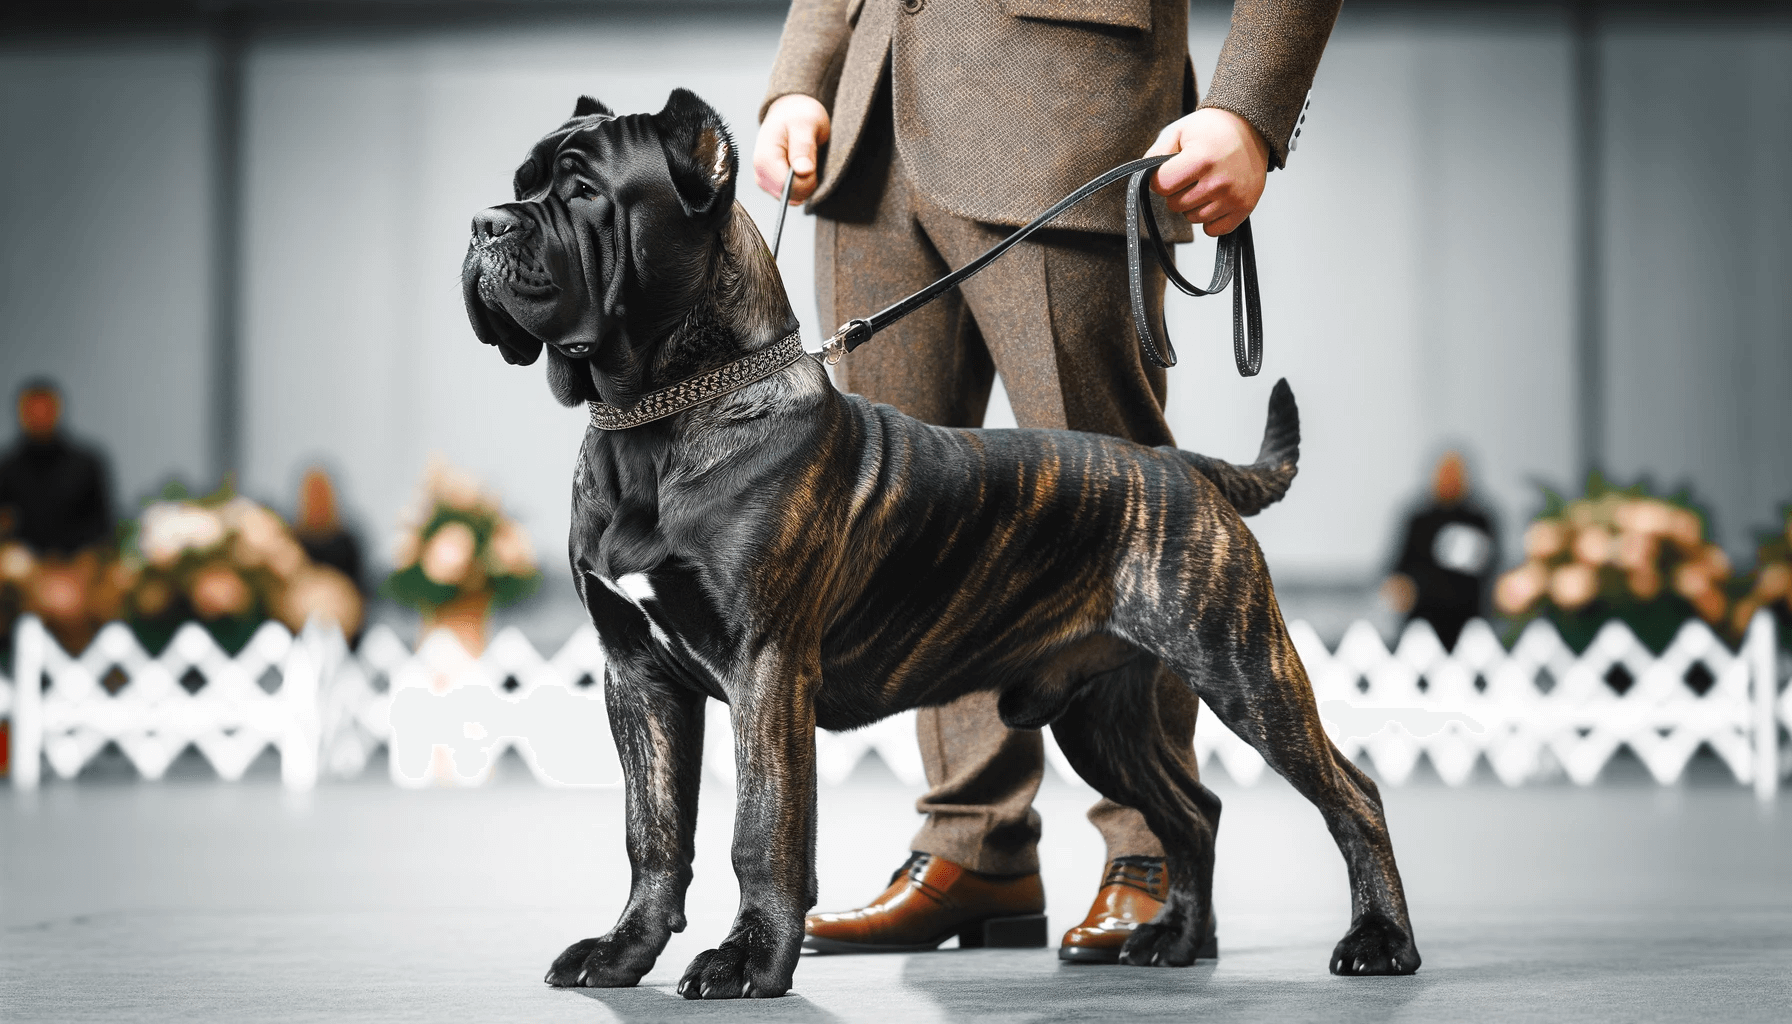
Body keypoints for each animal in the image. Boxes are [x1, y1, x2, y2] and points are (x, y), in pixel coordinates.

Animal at [469, 90, 1419, 1004]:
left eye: (584, 190)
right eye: (521, 182)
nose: (485, 222)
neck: (654, 420)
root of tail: (1179, 463)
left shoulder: (764, 667)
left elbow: (761, 830)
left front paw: (748, 963)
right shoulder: (636, 673)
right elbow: (654, 831)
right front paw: (621, 953)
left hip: (1242, 667)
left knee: (1351, 795)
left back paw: (1379, 942)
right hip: (1097, 714)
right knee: (1193, 812)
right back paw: (1172, 941)